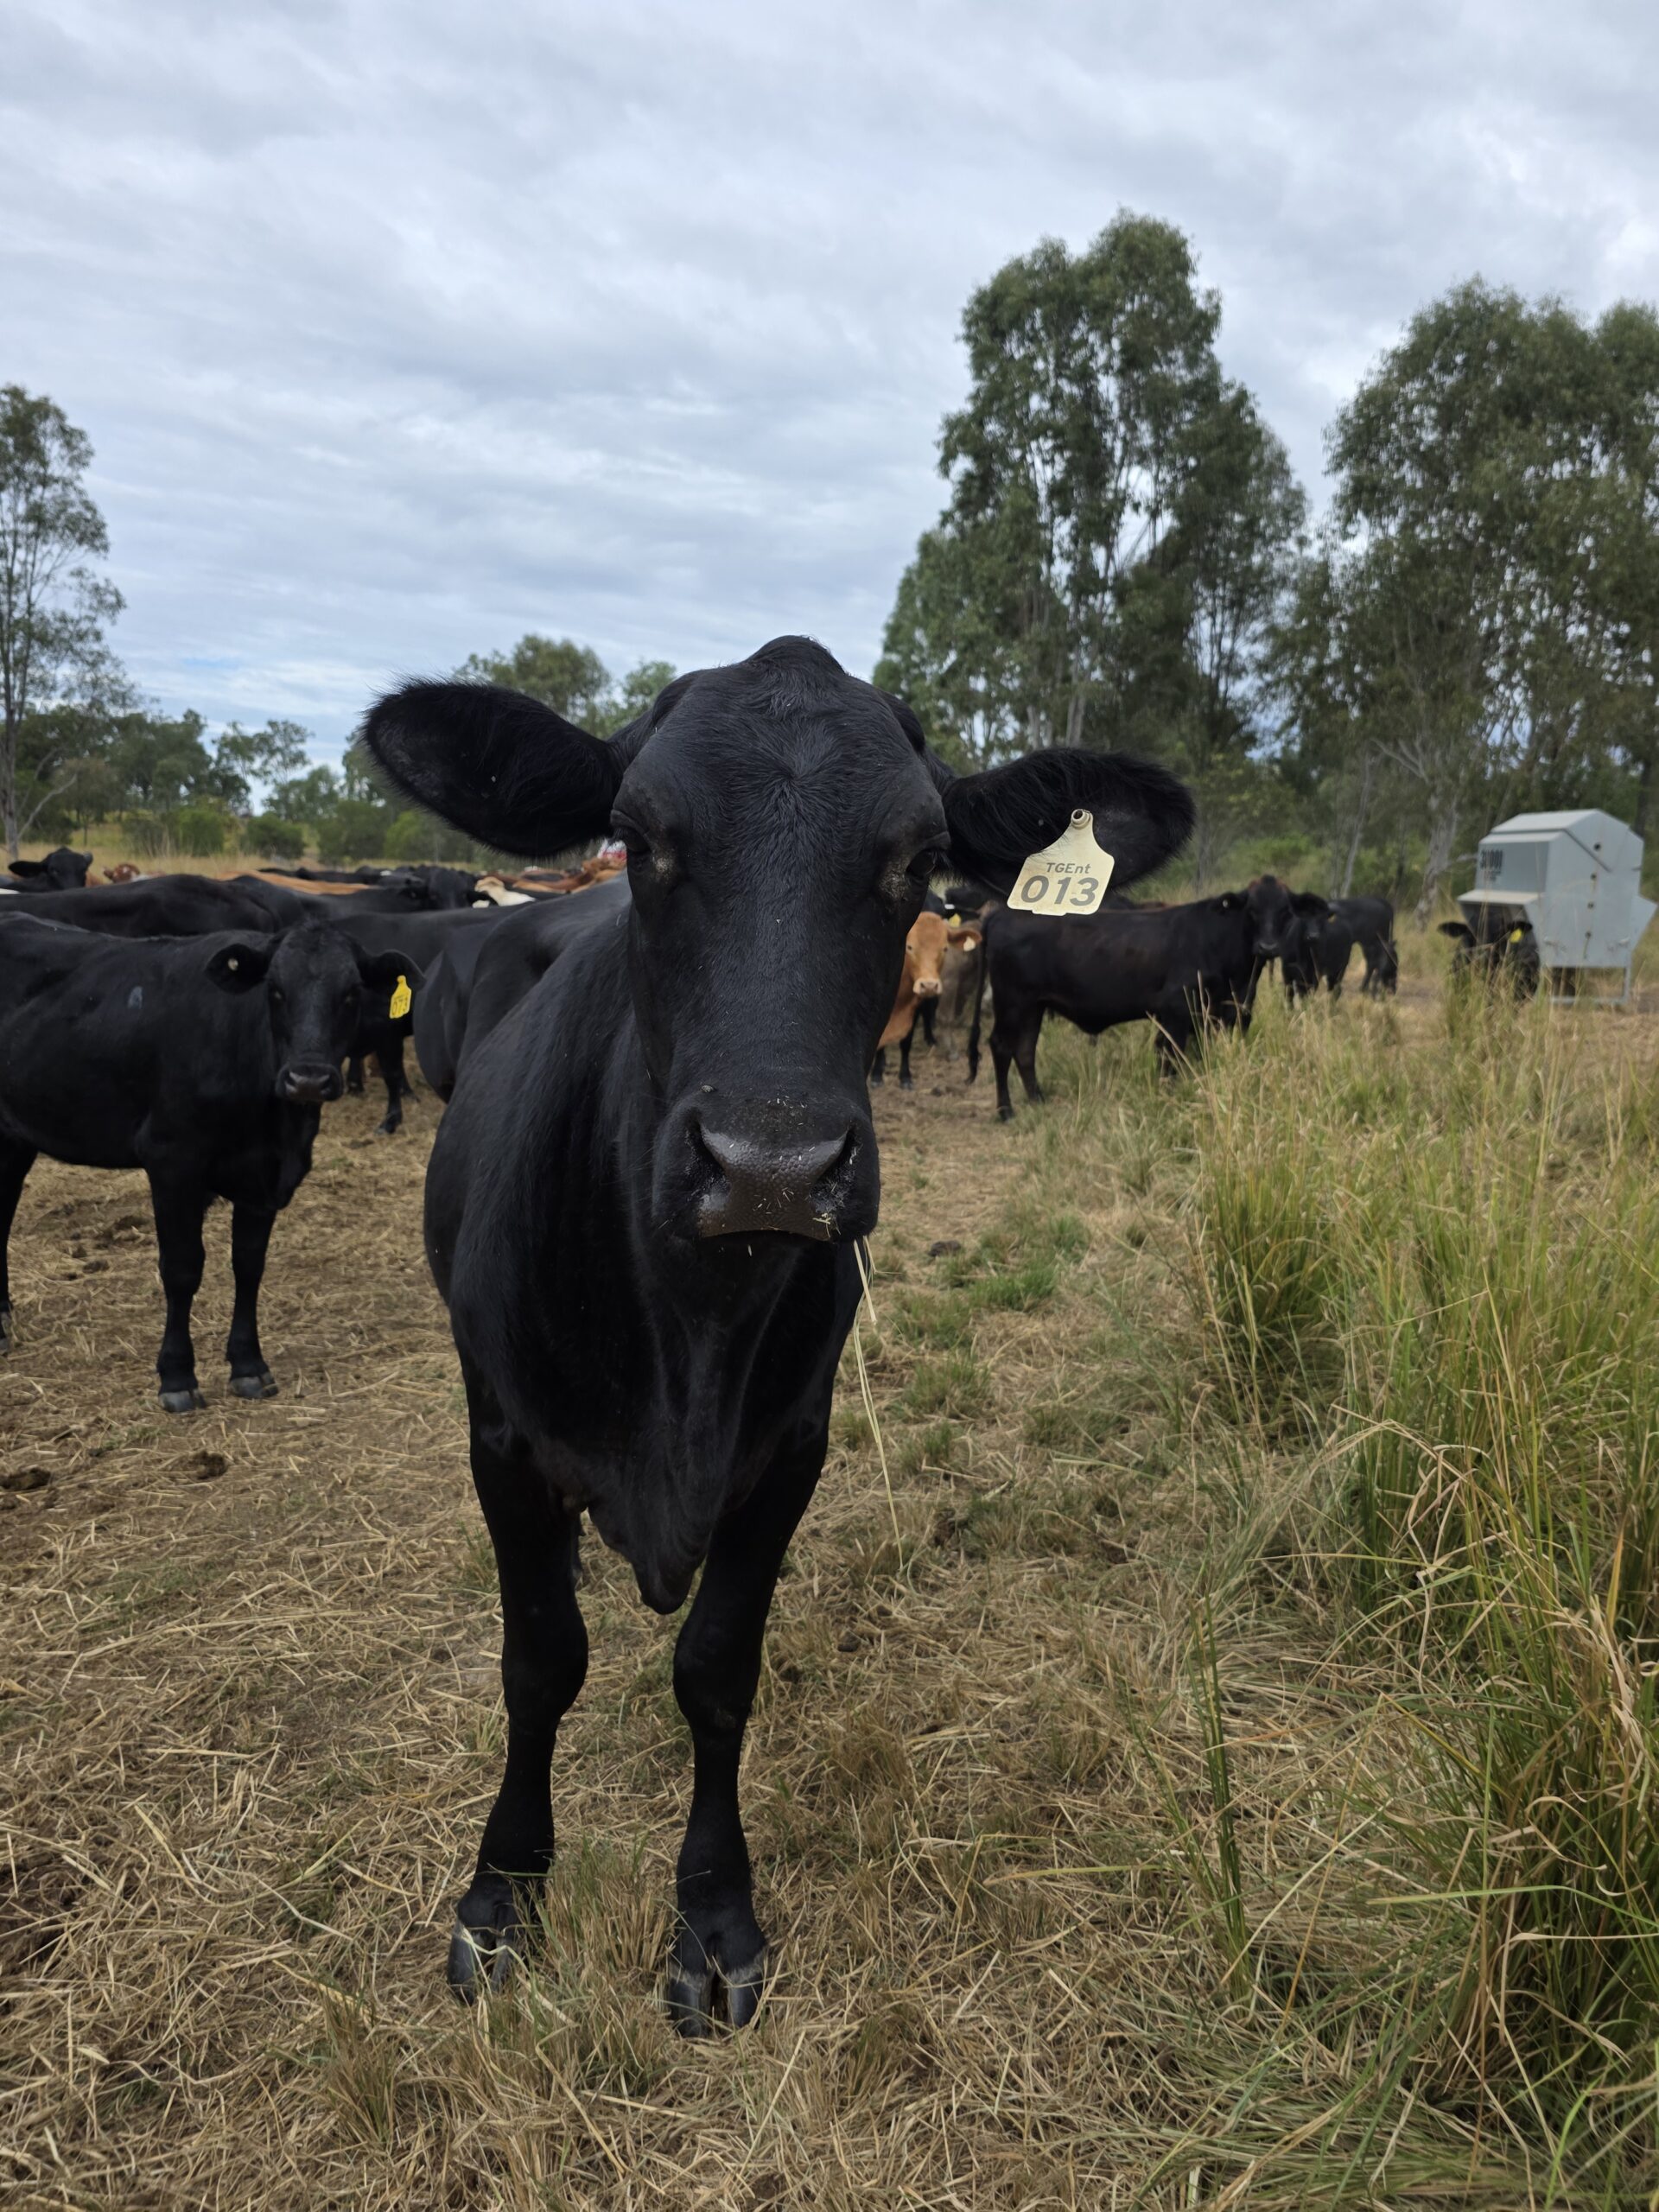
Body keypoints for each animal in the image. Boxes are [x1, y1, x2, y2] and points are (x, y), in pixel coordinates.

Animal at [0, 914, 418, 1408]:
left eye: (351, 991)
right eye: (275, 989)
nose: (308, 1079)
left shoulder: (264, 1178)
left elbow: (249, 1266)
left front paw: (249, 1365)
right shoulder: (172, 1161)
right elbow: (182, 1268)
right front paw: (177, 1375)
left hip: (13, 1140)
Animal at [870, 909, 983, 1088]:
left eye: (944, 948)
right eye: (909, 947)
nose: (929, 985)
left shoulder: (913, 1008)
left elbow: (906, 1041)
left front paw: (905, 1077)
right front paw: (877, 1075)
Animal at [970, 894, 1259, 1117]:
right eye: (1253, 913)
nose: (1265, 947)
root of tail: (1001, 914)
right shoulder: (1177, 1013)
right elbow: (1171, 1055)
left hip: (1033, 1008)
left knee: (1025, 1049)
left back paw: (1037, 1099)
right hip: (1011, 1005)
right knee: (1001, 1047)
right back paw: (1005, 1110)